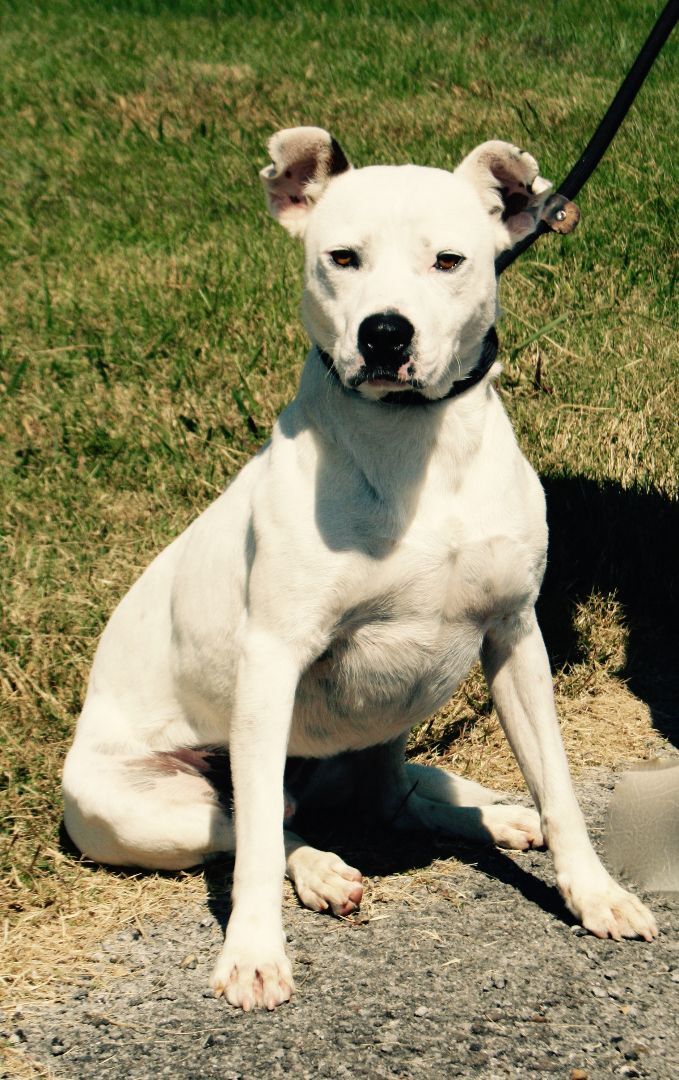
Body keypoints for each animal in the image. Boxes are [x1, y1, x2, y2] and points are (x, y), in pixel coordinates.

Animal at [63, 128, 656, 1010]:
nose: (384, 333)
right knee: (260, 826)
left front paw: (593, 893)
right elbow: (258, 849)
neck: (416, 447)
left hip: (387, 723)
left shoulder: (515, 636)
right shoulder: (272, 660)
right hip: (140, 809)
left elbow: (557, 787)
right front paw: (253, 952)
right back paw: (321, 872)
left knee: (387, 796)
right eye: (341, 257)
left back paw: (490, 817)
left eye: (449, 260)